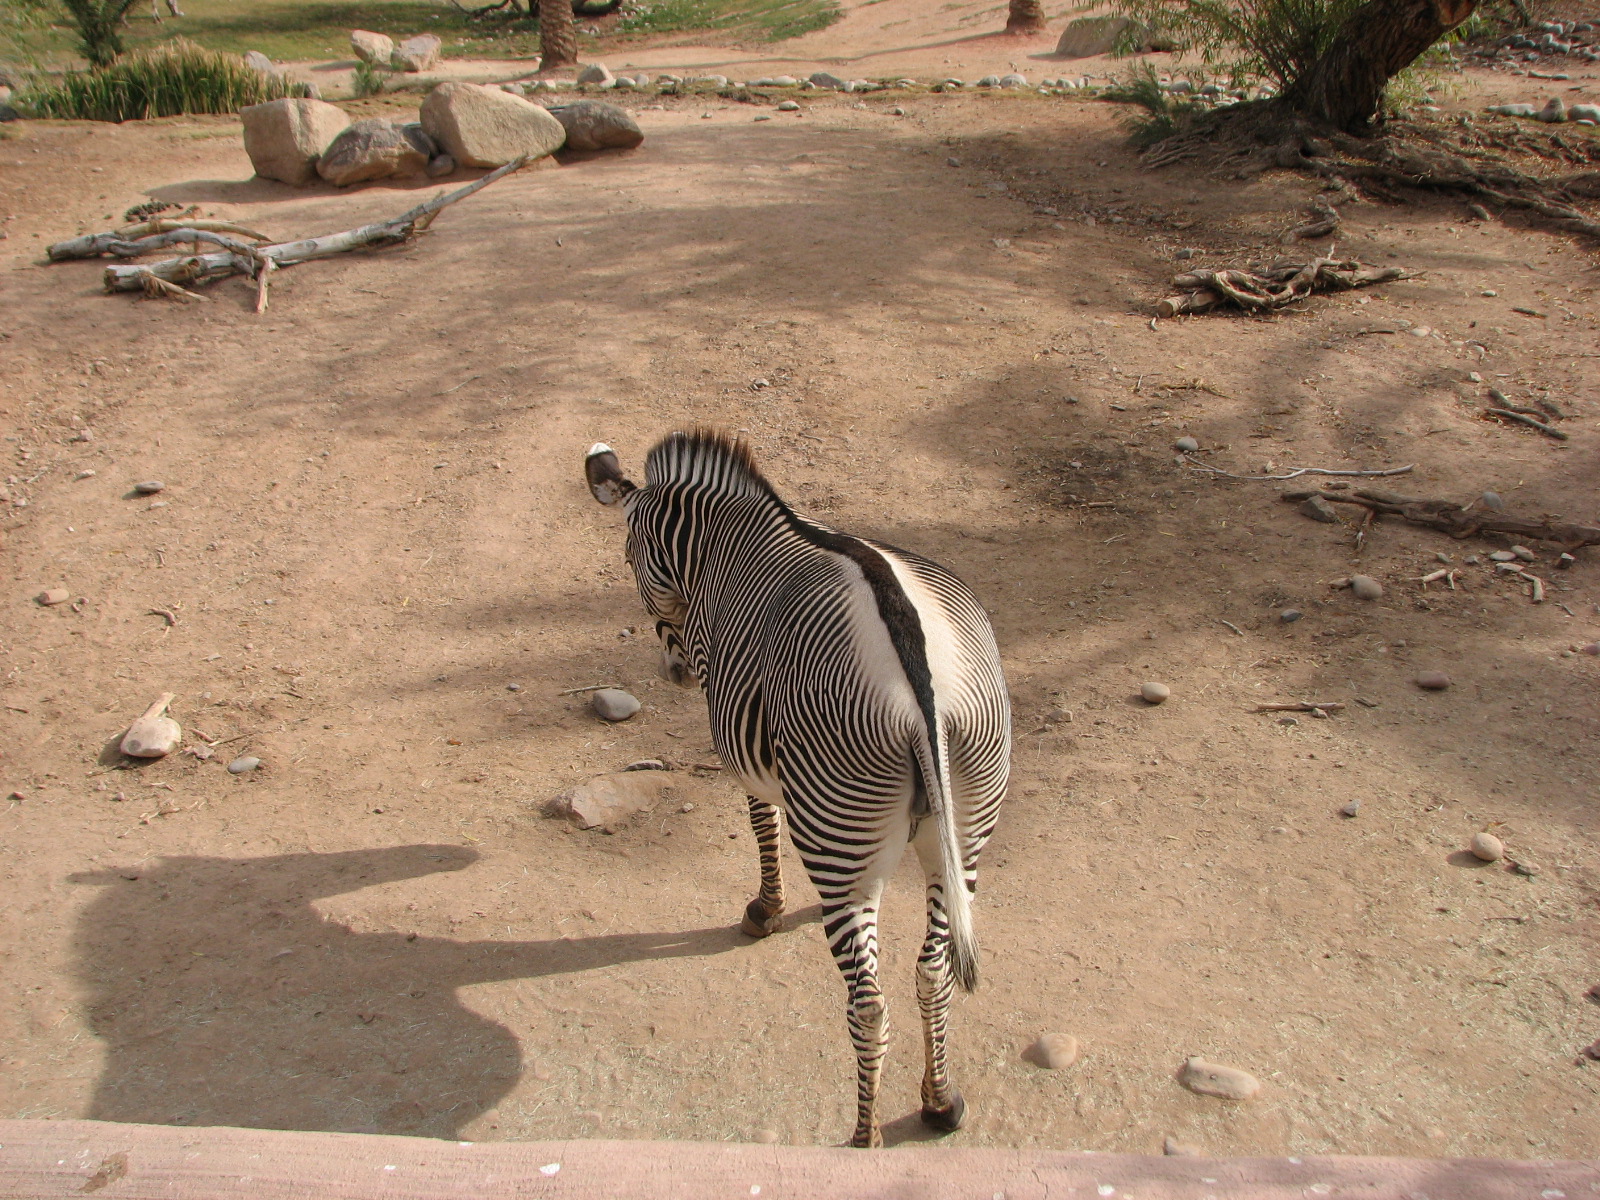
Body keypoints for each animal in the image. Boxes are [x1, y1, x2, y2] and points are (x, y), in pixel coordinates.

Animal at [584, 429, 1010, 1149]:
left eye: (630, 558)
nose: (675, 674)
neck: (725, 544)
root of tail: (920, 686)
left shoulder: (743, 741)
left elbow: (762, 822)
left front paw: (767, 908)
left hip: (850, 820)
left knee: (868, 1005)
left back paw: (864, 1140)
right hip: (962, 822)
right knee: (934, 970)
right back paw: (940, 1100)